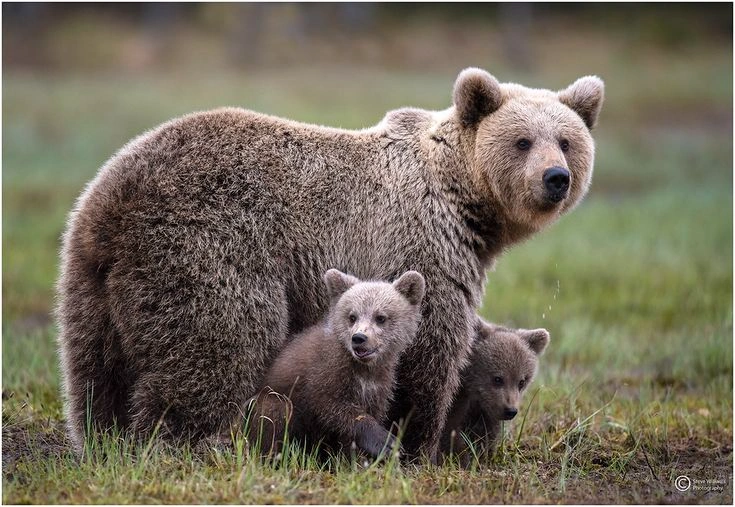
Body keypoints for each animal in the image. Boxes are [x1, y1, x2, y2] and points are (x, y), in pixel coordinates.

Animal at [245, 268, 424, 459]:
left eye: (381, 317)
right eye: (352, 316)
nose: (359, 338)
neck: (364, 369)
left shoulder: (379, 388)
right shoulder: (324, 373)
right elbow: (330, 405)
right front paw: (384, 442)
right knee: (275, 413)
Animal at [440, 319, 550, 465]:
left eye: (521, 382)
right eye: (498, 379)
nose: (510, 411)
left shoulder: (487, 411)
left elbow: (486, 434)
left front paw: (482, 454)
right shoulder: (457, 399)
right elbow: (451, 429)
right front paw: (462, 457)